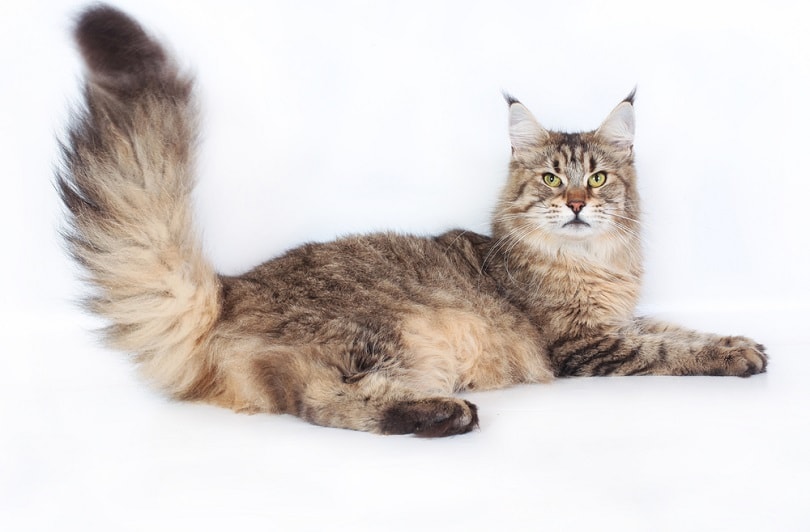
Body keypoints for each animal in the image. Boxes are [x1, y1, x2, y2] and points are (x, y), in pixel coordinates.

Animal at [56, 5, 764, 436]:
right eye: (549, 179)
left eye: (597, 179)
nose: (576, 205)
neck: (593, 263)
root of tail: (227, 289)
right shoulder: (586, 343)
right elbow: (667, 350)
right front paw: (732, 356)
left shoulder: (623, 318)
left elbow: (677, 328)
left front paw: (741, 340)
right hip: (374, 334)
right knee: (323, 404)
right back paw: (446, 415)